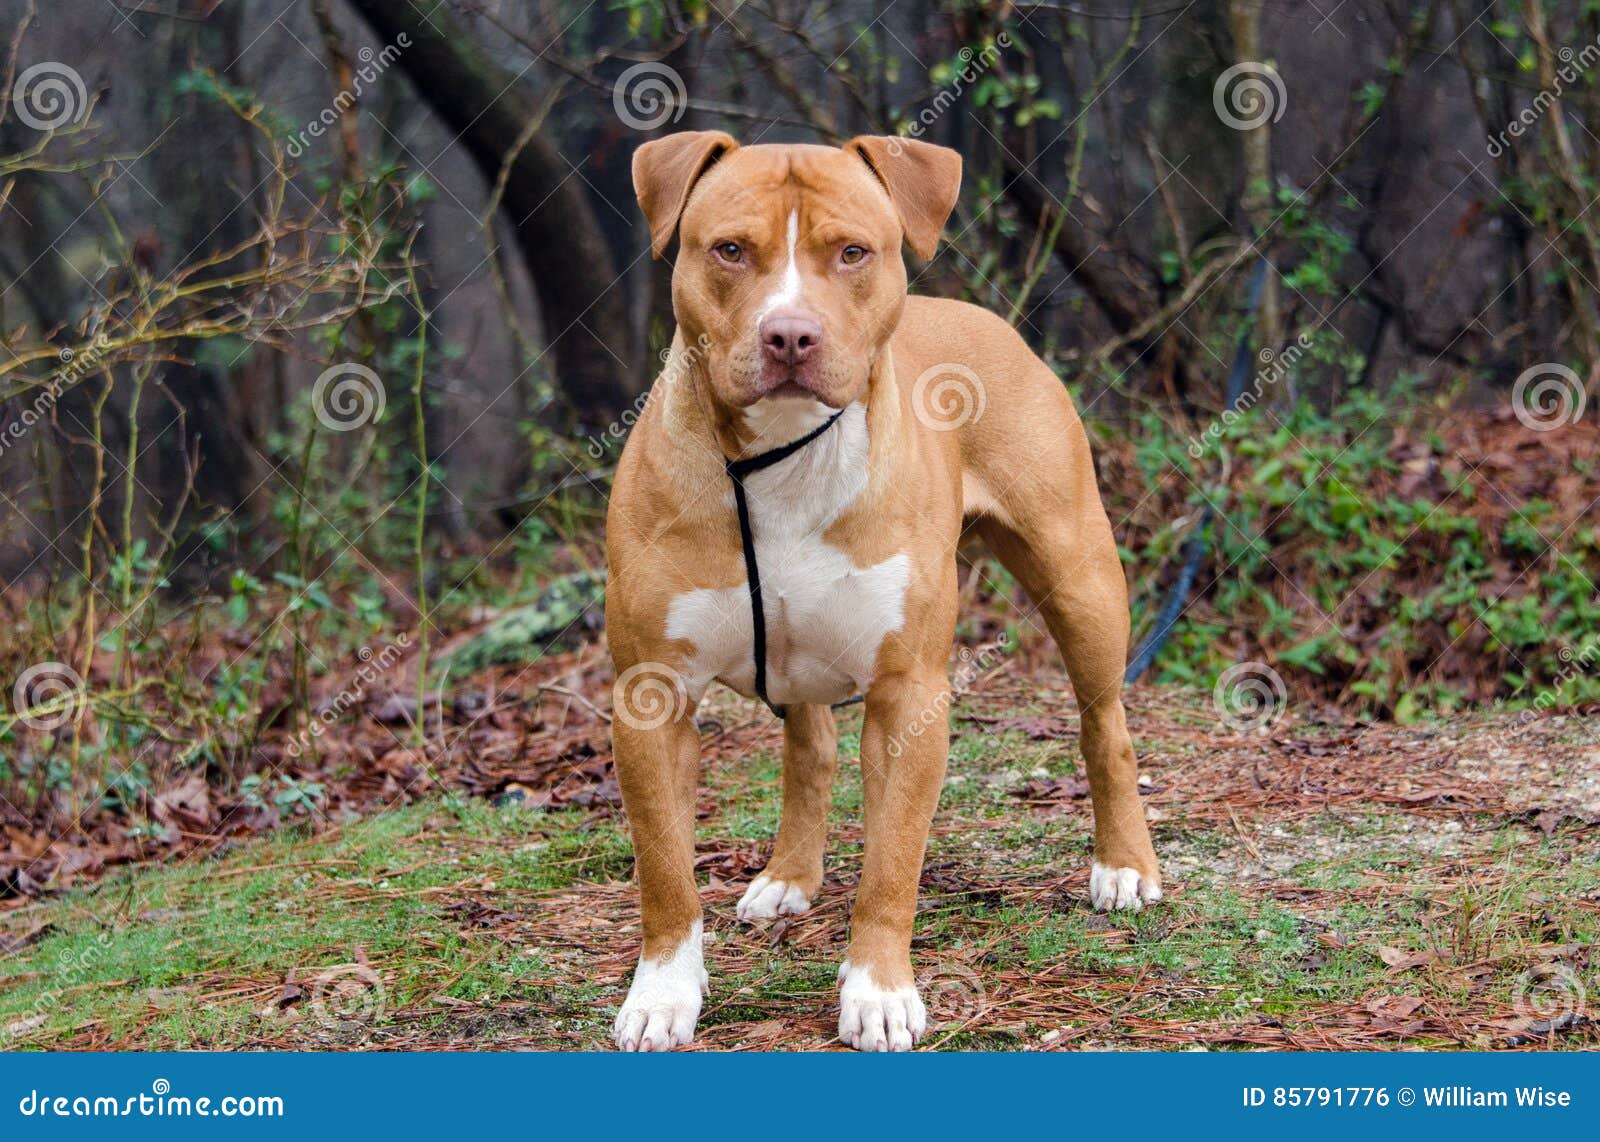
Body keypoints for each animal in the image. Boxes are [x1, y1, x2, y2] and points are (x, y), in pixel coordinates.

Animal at [604, 133, 1158, 1049]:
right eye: (730, 250)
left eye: (853, 253)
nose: (791, 334)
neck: (785, 457)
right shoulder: (652, 696)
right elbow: (665, 869)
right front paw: (662, 994)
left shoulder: (909, 693)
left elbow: (893, 863)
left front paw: (879, 992)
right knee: (811, 749)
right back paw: (789, 875)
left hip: (1079, 579)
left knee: (1104, 727)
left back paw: (1123, 866)